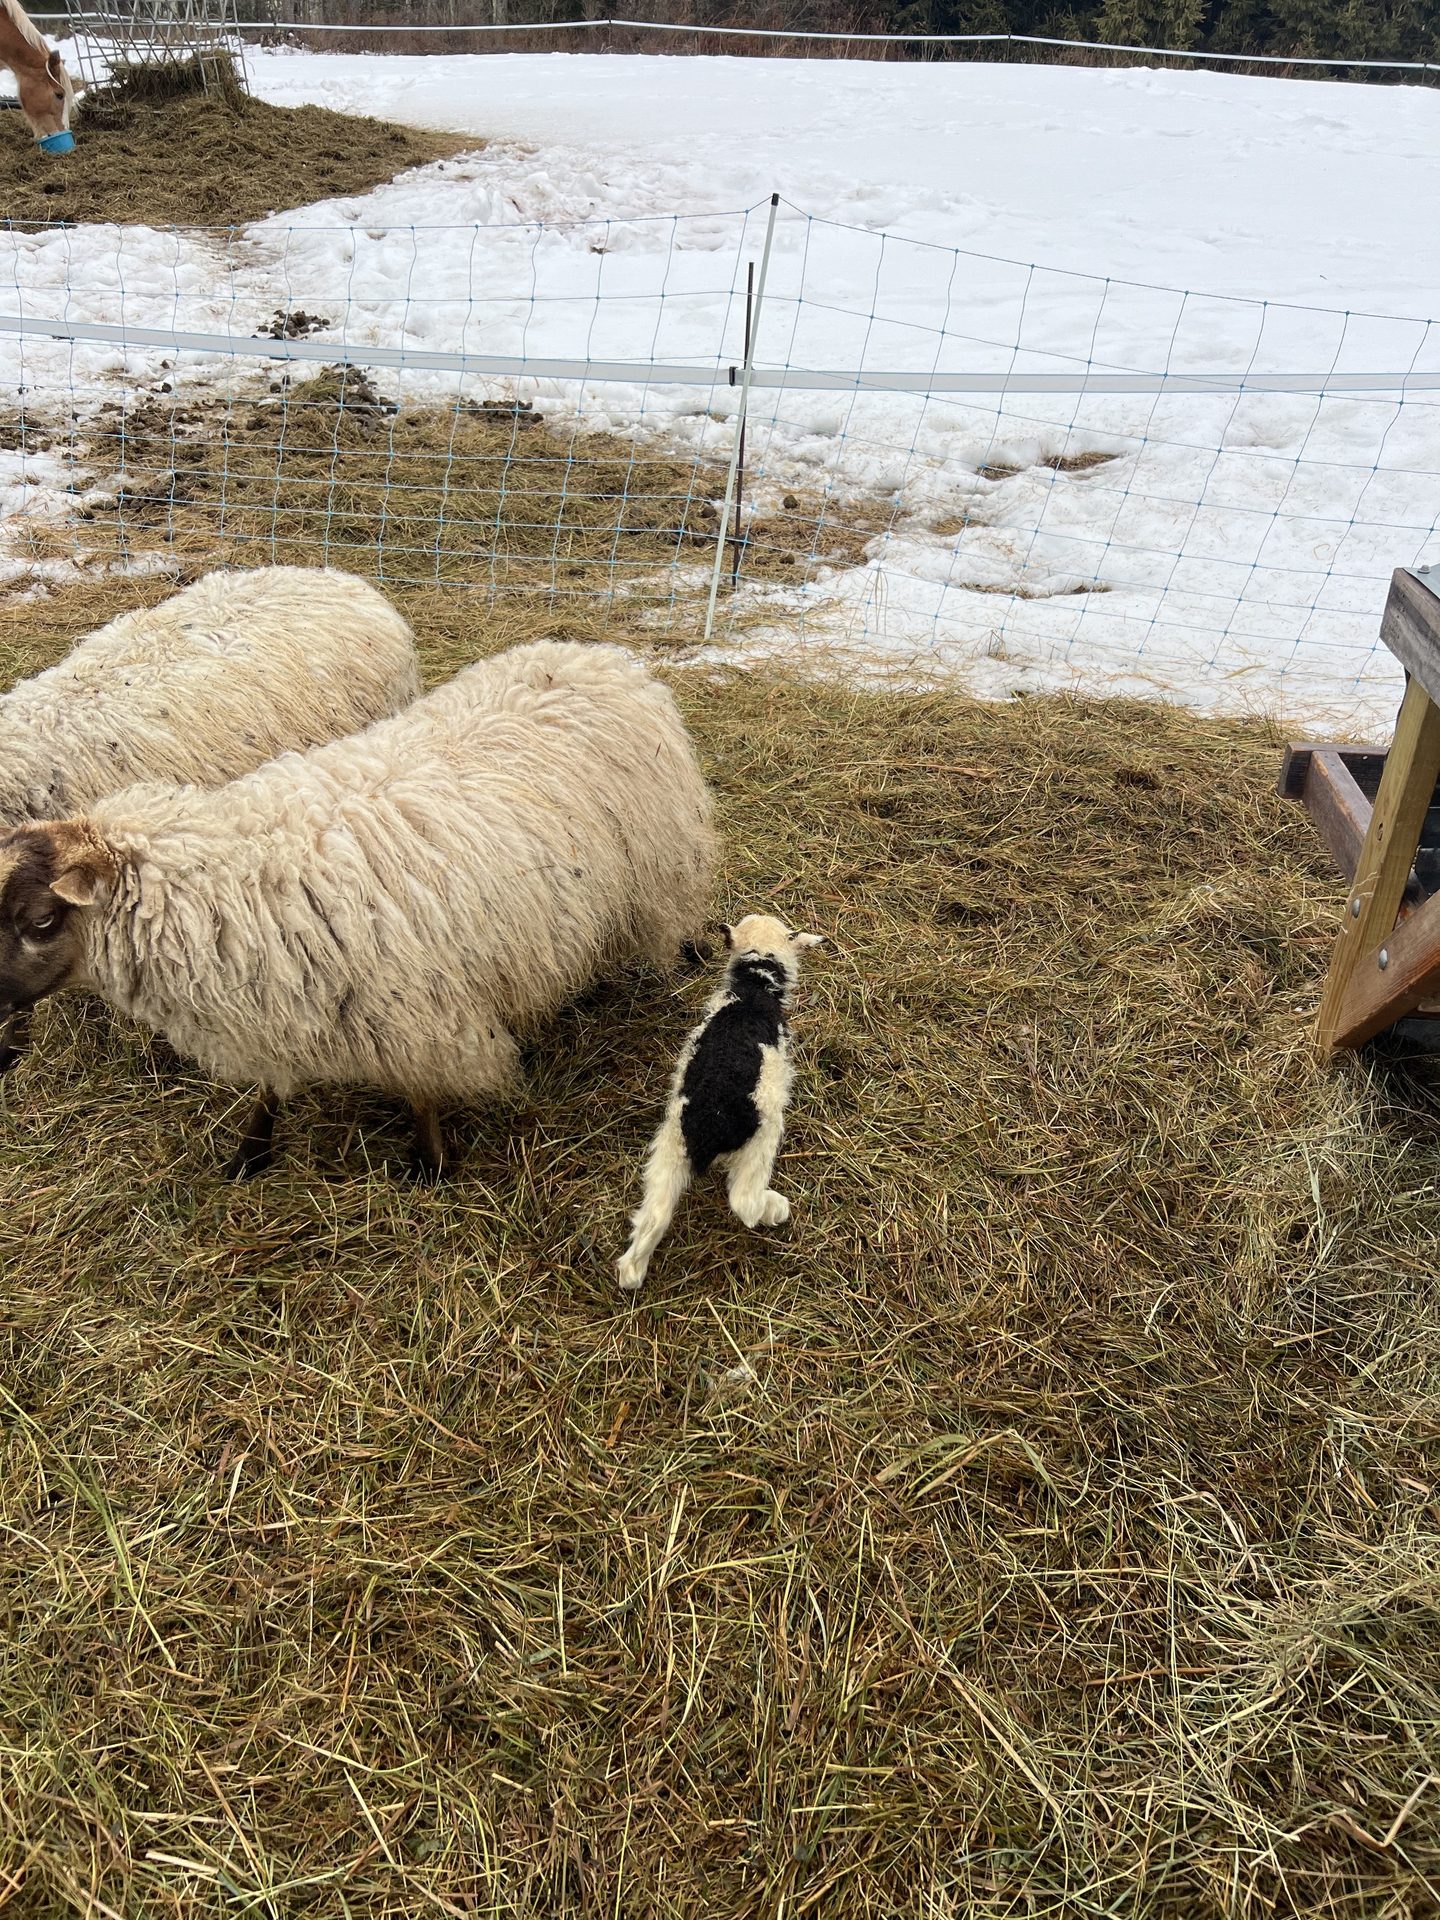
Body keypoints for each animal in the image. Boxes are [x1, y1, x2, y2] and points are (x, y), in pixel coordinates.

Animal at [0, 640, 715, 1179]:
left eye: (41, 921)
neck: (238, 889)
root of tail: (596, 655)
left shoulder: (415, 1006)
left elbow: (422, 1090)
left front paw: (432, 1164)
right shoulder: (283, 997)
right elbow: (269, 1087)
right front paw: (250, 1151)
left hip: (651, 870)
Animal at [617, 914, 824, 1292]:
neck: (752, 993)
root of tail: (709, 1128)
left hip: (671, 1145)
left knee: (655, 1214)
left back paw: (632, 1273)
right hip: (762, 1137)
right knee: (745, 1202)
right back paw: (776, 1208)